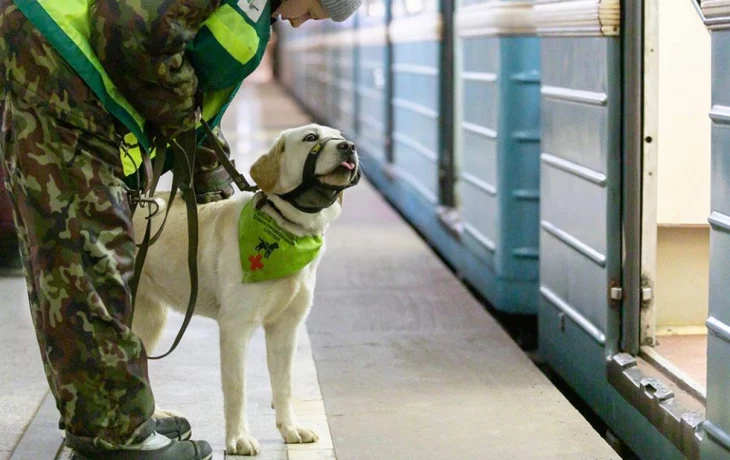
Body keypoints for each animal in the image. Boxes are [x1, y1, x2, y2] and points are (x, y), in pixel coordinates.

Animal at [132, 124, 362, 454]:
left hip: (149, 319)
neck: (288, 227)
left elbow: (284, 385)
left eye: (340, 136)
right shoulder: (235, 327)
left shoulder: (285, 328)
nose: (349, 147)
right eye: (311, 138)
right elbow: (236, 388)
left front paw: (290, 429)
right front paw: (238, 439)